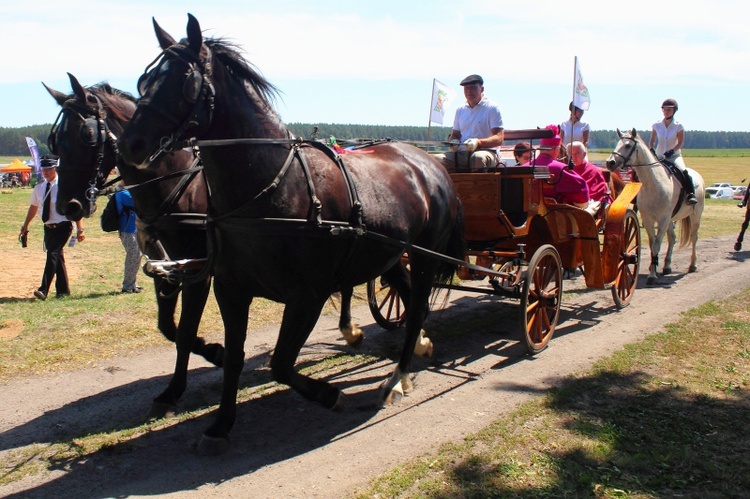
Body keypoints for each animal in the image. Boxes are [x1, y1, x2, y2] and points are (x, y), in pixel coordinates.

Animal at [119, 13, 464, 456]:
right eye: (145, 82)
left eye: (185, 80)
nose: (131, 144)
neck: (270, 189)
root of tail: (429, 162)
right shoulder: (230, 289)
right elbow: (235, 357)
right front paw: (220, 425)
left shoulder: (307, 296)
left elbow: (281, 363)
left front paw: (330, 395)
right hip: (390, 254)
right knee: (404, 294)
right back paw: (413, 352)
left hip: (424, 256)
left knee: (418, 306)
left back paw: (397, 378)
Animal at [604, 128, 704, 286]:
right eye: (617, 144)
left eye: (627, 145)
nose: (610, 162)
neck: (654, 184)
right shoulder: (649, 219)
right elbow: (652, 245)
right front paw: (653, 268)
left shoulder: (662, 220)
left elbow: (657, 245)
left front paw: (652, 275)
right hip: (671, 219)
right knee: (672, 238)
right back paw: (667, 266)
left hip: (695, 215)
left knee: (694, 237)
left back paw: (692, 265)